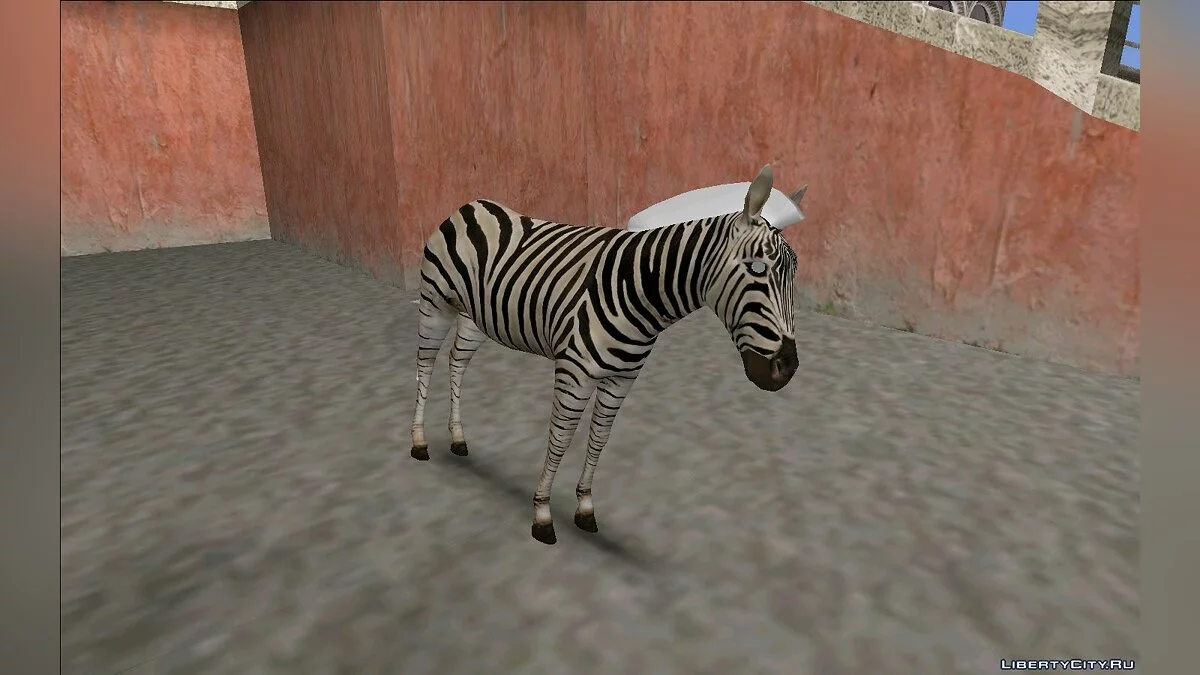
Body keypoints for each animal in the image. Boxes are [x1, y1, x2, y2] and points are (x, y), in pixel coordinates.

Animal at [410, 164, 802, 545]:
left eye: (794, 273)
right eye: (756, 268)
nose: (787, 368)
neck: (637, 291)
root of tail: (471, 205)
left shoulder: (621, 380)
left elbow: (599, 439)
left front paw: (585, 508)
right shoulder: (574, 373)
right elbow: (560, 439)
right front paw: (542, 515)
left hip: (475, 317)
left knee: (457, 360)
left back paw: (458, 438)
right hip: (435, 303)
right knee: (425, 363)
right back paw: (418, 442)